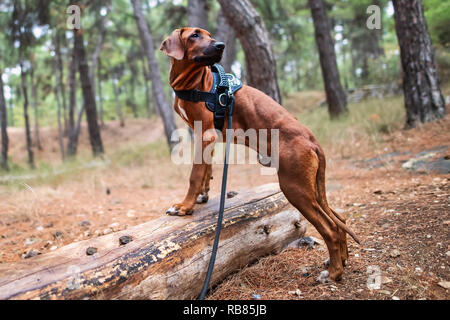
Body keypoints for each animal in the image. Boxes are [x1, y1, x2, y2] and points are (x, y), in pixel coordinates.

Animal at [160, 28, 360, 282]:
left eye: (207, 35)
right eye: (195, 35)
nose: (221, 45)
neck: (195, 82)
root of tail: (311, 140)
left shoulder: (204, 134)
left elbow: (194, 174)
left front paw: (185, 207)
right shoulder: (207, 137)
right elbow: (206, 169)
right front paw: (202, 195)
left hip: (295, 189)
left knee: (331, 229)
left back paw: (333, 273)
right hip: (312, 188)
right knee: (340, 220)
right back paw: (340, 261)